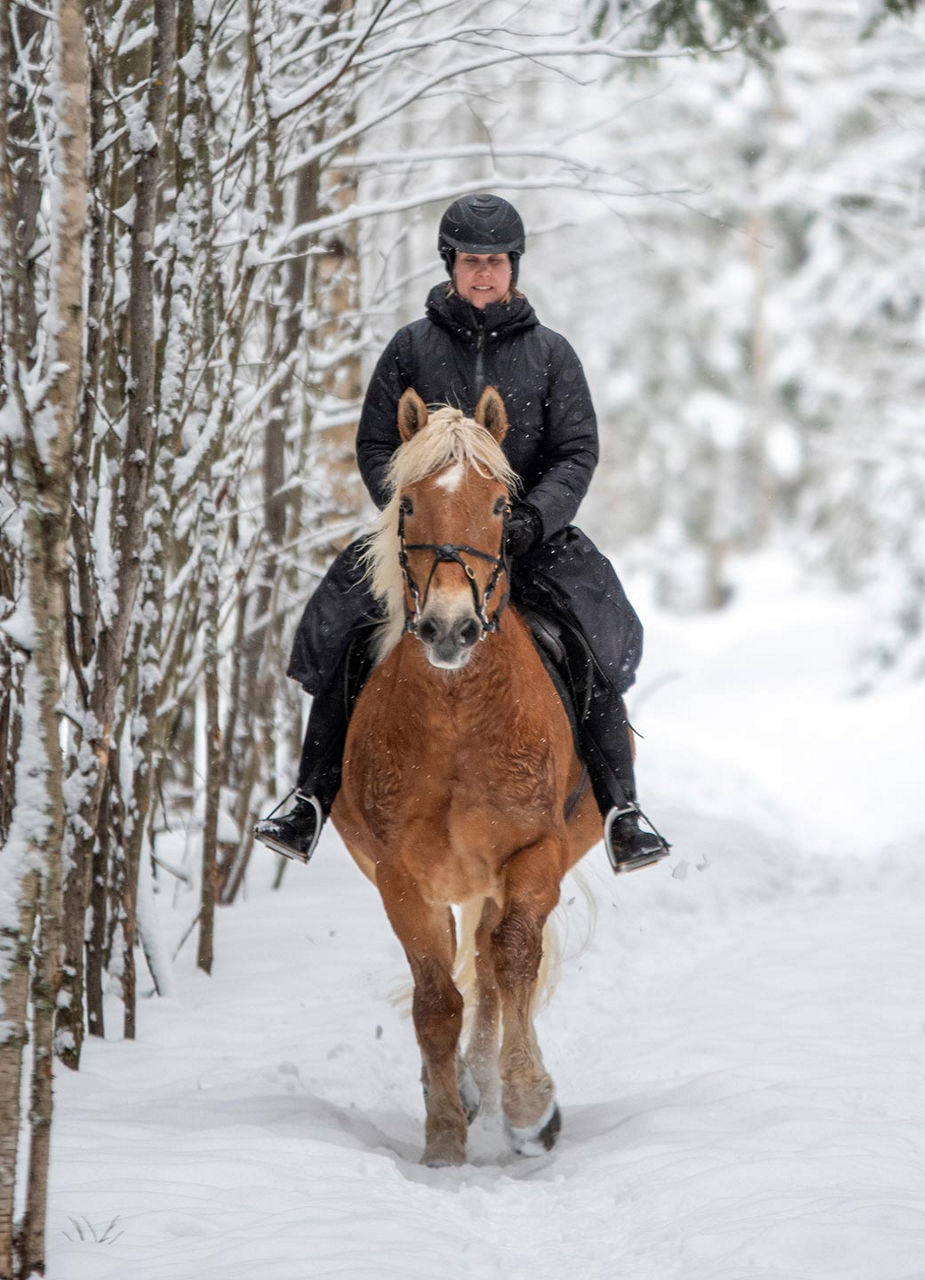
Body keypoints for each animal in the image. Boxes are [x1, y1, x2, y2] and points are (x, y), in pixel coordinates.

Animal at [330, 384, 601, 1167]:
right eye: (409, 504)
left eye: (501, 506)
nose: (450, 628)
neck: (456, 721)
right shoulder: (398, 874)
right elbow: (435, 1000)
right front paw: (445, 1136)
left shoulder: (533, 854)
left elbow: (509, 965)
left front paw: (529, 1107)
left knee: (490, 961)